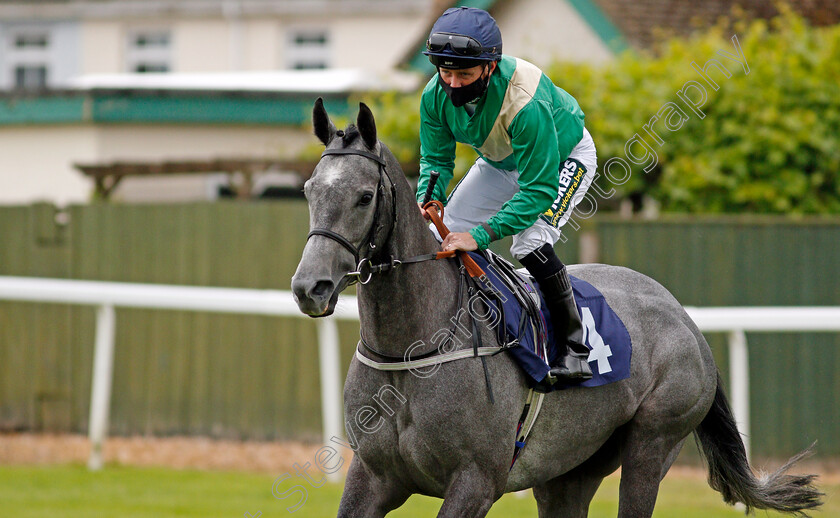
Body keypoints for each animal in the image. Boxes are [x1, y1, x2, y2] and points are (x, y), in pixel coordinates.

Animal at [290, 100, 820, 518]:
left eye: (364, 196)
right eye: (309, 190)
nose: (309, 287)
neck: (413, 351)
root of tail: (684, 318)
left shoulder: (476, 482)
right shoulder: (372, 476)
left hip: (653, 445)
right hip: (569, 472)